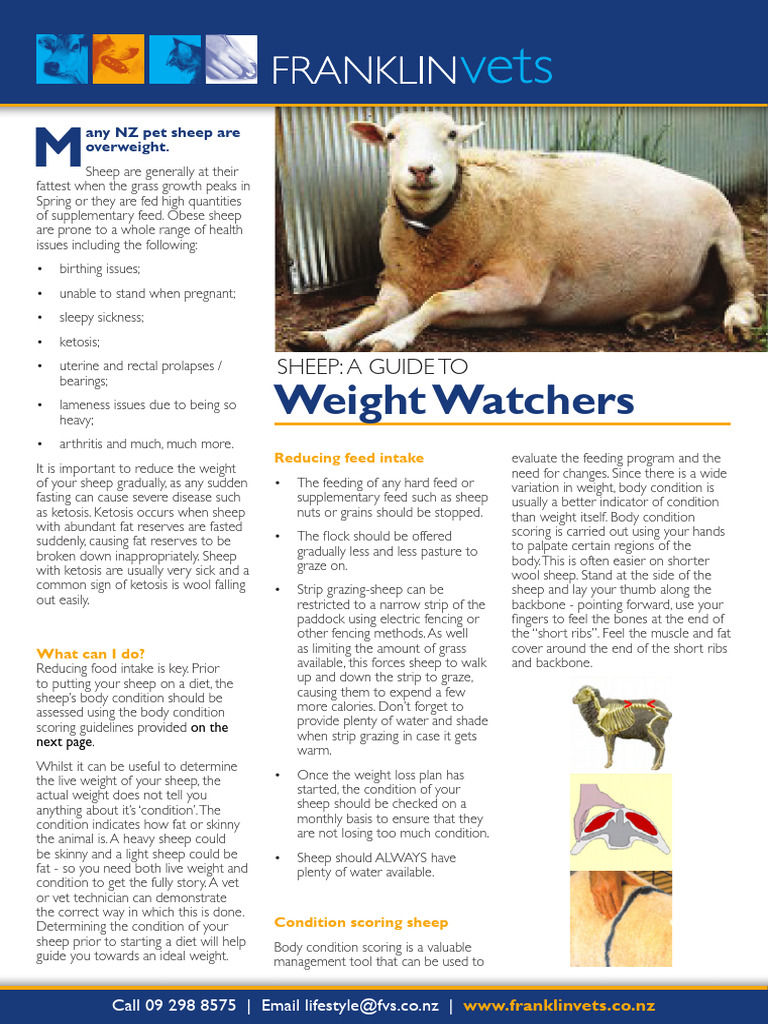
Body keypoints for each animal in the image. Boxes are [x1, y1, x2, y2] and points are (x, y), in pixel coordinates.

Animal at [289, 110, 759, 352]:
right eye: (389, 136)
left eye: (452, 134)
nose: (421, 170)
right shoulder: (401, 284)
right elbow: (370, 311)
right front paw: (327, 335)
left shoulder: (519, 282)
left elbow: (439, 300)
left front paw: (389, 337)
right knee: (696, 302)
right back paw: (645, 319)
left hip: (728, 236)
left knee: (743, 290)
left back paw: (738, 320)